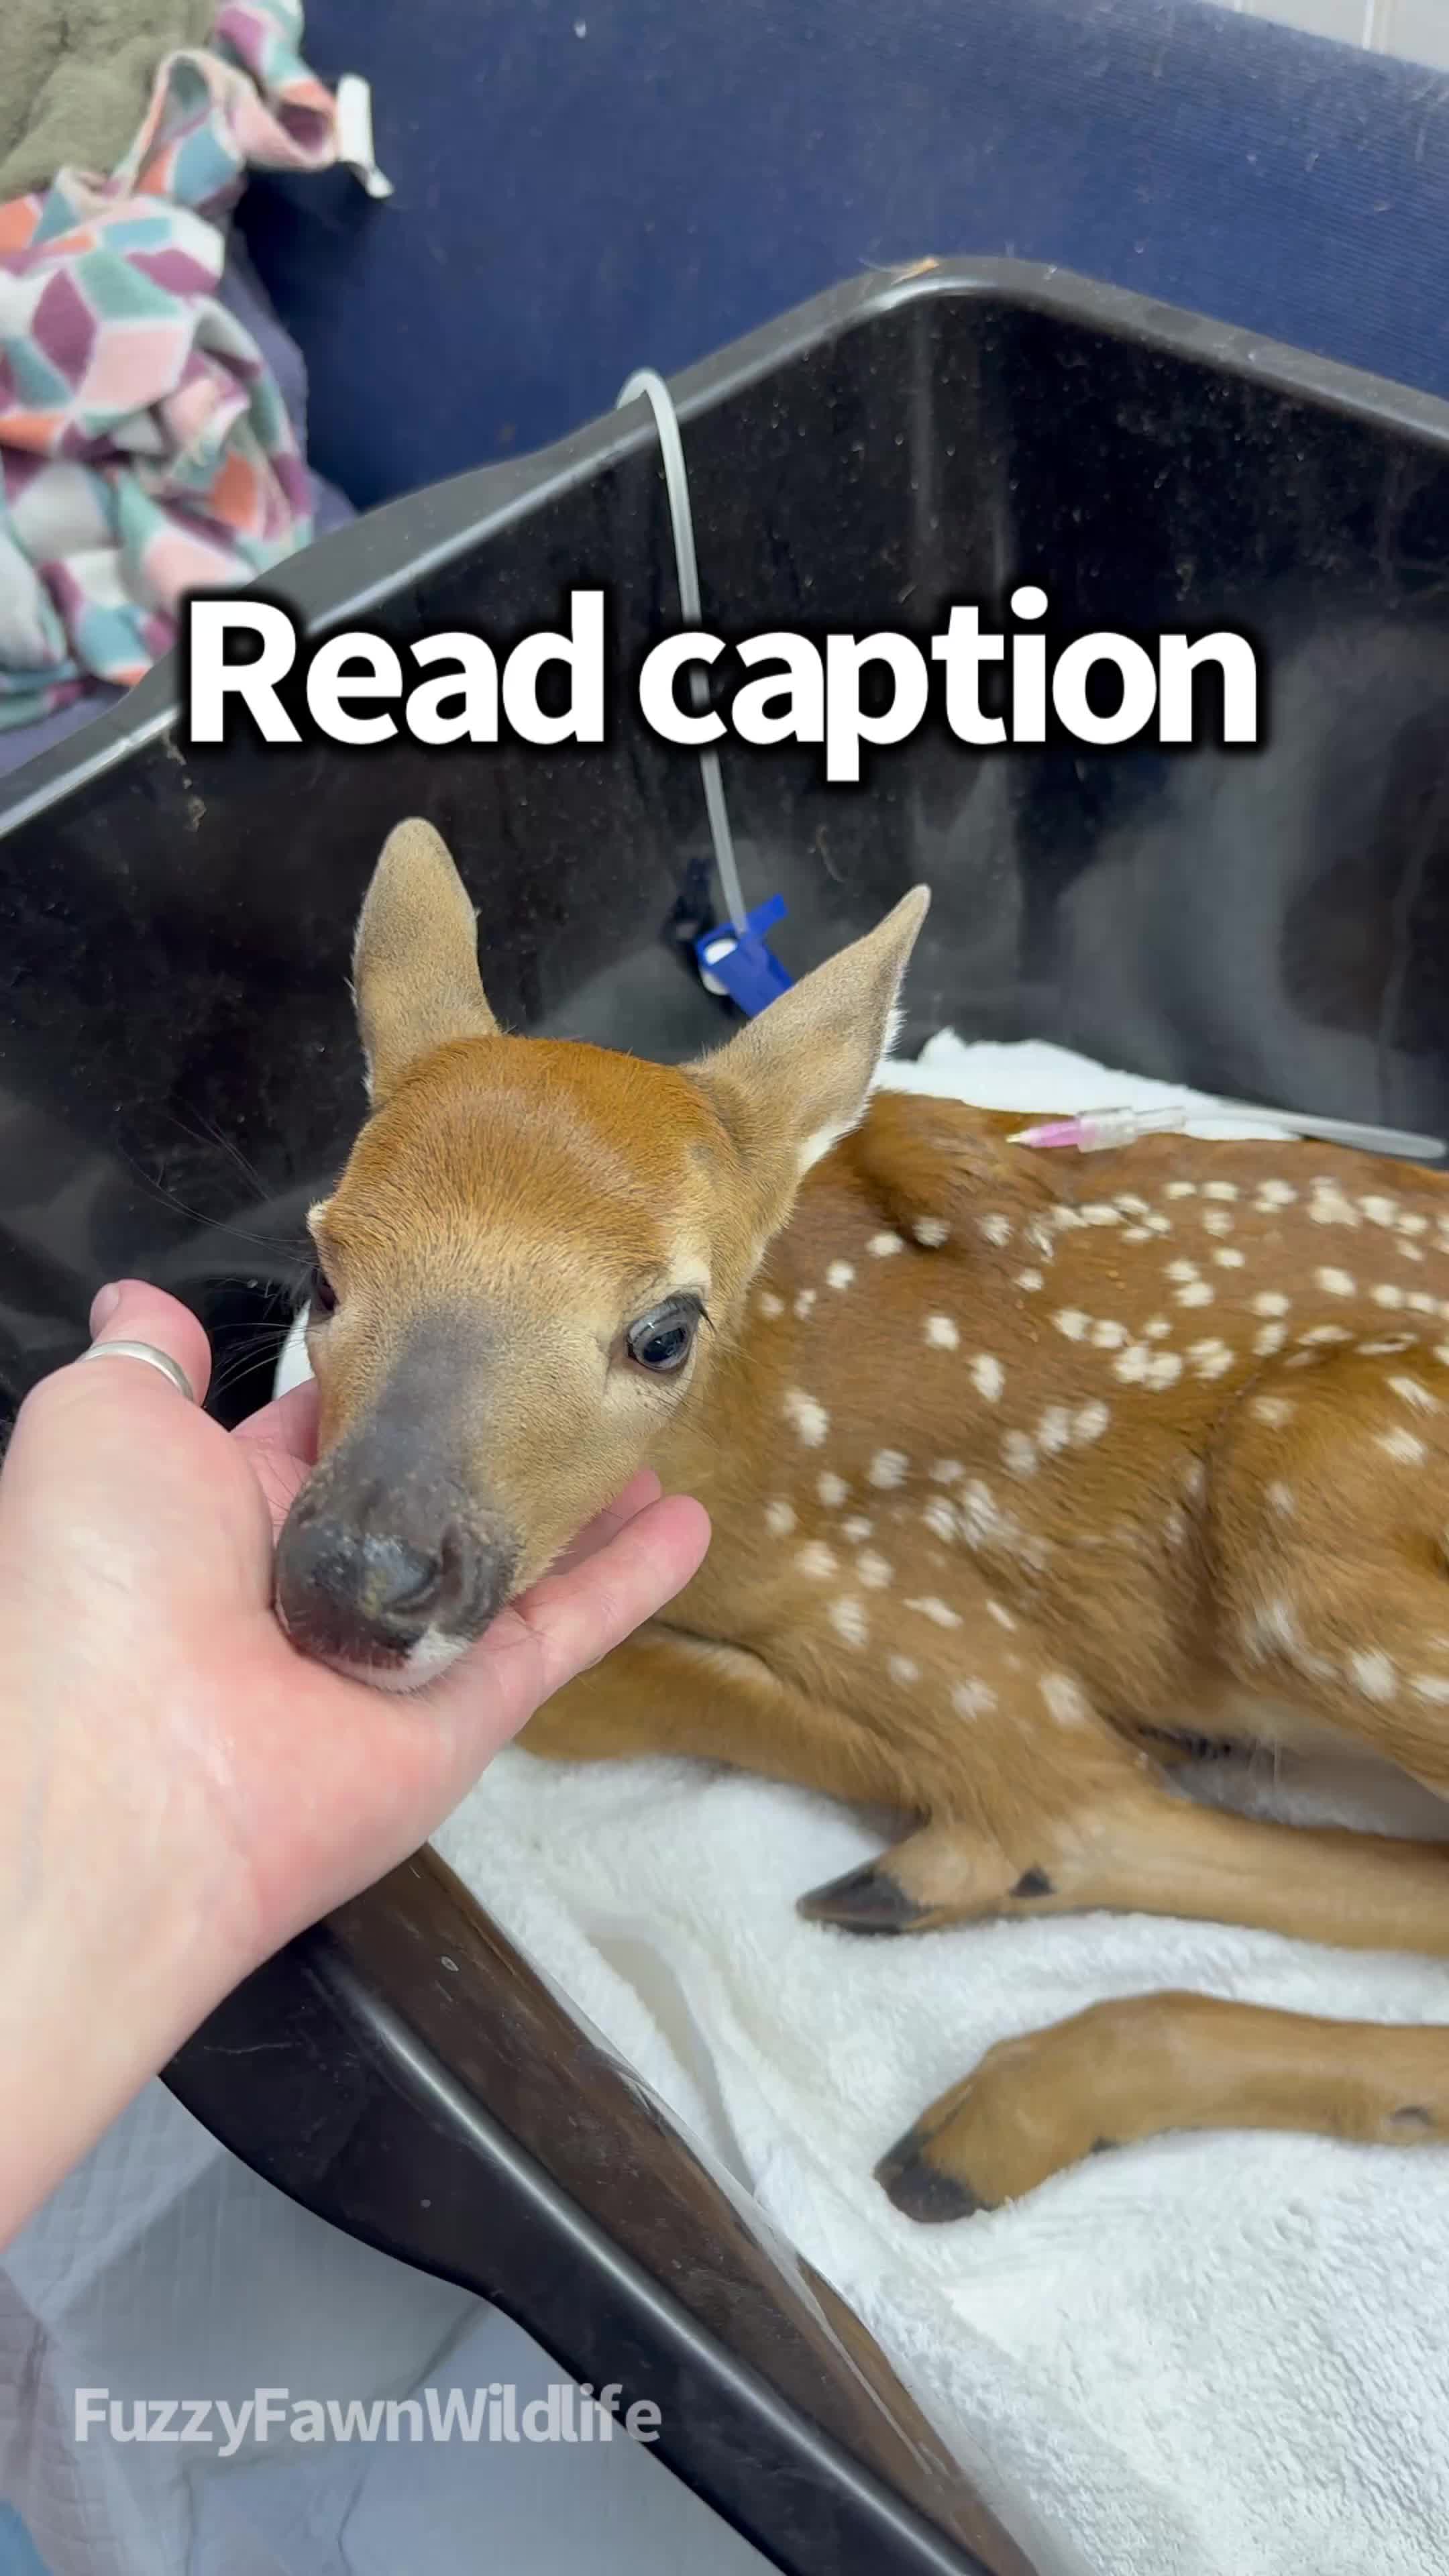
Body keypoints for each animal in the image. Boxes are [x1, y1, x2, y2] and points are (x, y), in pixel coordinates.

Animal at [274, 816, 1449, 2225]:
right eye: (320, 1270)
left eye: (664, 1330)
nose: (351, 1577)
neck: (742, 1452)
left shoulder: (914, 1616)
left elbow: (600, 1699)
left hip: (1309, 1478)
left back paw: (993, 2095)